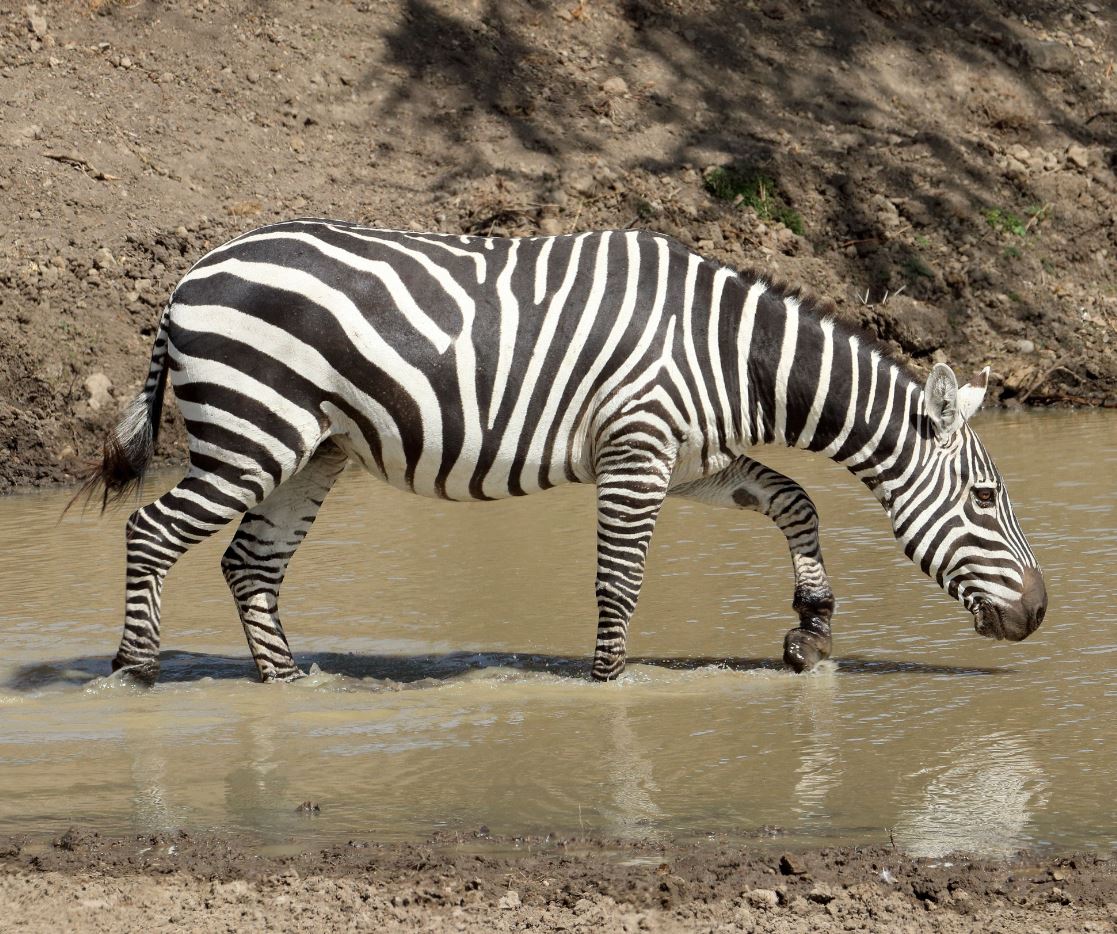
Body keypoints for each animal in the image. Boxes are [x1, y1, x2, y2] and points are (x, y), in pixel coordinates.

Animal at [80, 220, 1045, 683]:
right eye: (986, 500)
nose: (1038, 615)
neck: (730, 355)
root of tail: (190, 273)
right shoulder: (637, 452)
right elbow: (619, 582)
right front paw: (608, 685)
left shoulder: (694, 463)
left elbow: (795, 500)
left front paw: (809, 631)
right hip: (249, 437)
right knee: (149, 534)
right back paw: (134, 674)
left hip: (309, 450)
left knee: (250, 565)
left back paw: (287, 686)